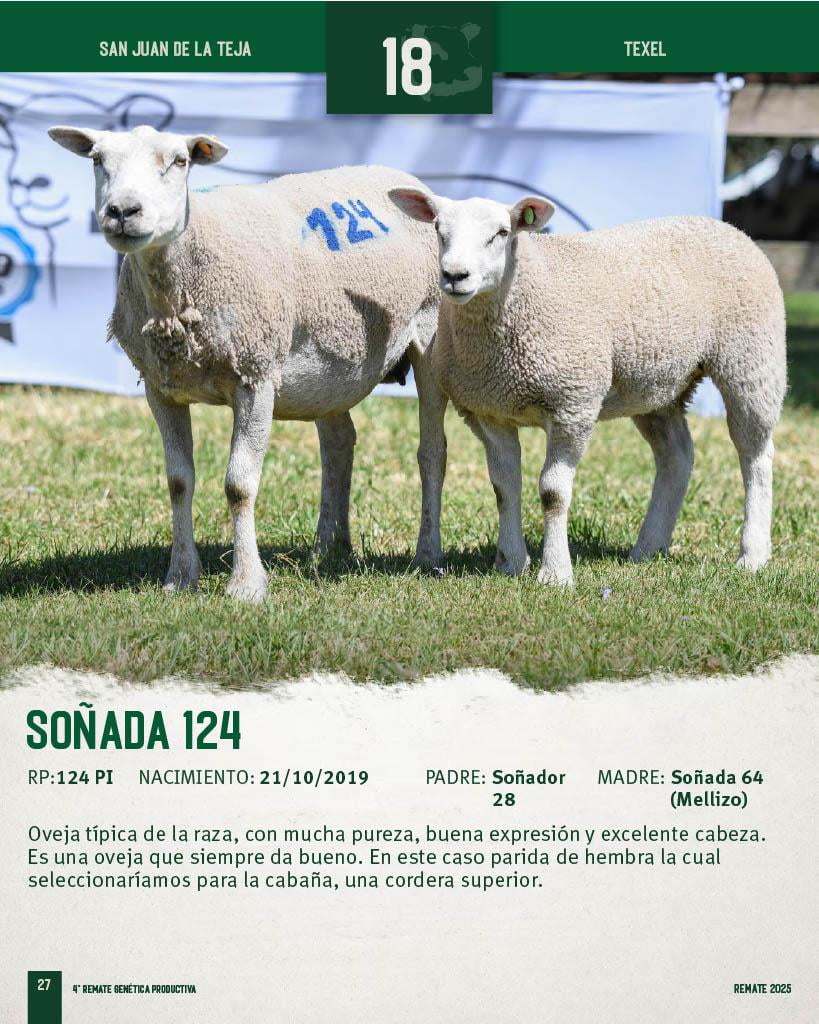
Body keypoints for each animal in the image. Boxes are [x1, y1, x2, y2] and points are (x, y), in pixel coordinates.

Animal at [48, 124, 444, 601]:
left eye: (179, 161)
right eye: (97, 160)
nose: (122, 211)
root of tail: (403, 177)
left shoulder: (255, 376)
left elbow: (238, 484)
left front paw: (246, 584)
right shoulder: (160, 387)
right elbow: (178, 482)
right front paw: (180, 576)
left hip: (428, 337)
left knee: (431, 452)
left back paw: (427, 555)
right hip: (331, 365)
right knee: (338, 444)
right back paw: (329, 548)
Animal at [389, 187, 787, 585]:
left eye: (502, 233)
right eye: (438, 229)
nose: (455, 275)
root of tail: (727, 227)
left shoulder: (572, 404)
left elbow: (552, 492)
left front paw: (555, 573)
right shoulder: (489, 410)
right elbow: (504, 487)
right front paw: (511, 563)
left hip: (750, 360)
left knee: (755, 456)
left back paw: (752, 554)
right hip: (655, 384)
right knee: (676, 455)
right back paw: (647, 548)